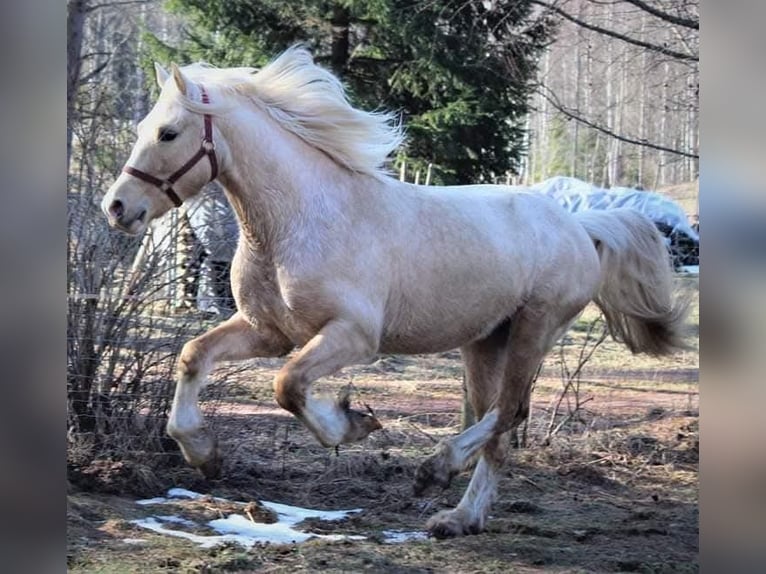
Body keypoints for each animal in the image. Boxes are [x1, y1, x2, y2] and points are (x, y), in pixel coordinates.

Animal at [102, 46, 688, 540]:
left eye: (169, 133)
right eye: (143, 128)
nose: (117, 207)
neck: (298, 220)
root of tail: (580, 225)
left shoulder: (353, 337)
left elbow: (287, 386)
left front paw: (353, 424)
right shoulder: (267, 331)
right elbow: (193, 356)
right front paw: (204, 453)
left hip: (535, 328)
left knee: (509, 413)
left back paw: (436, 475)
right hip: (485, 342)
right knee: (496, 423)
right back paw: (459, 517)